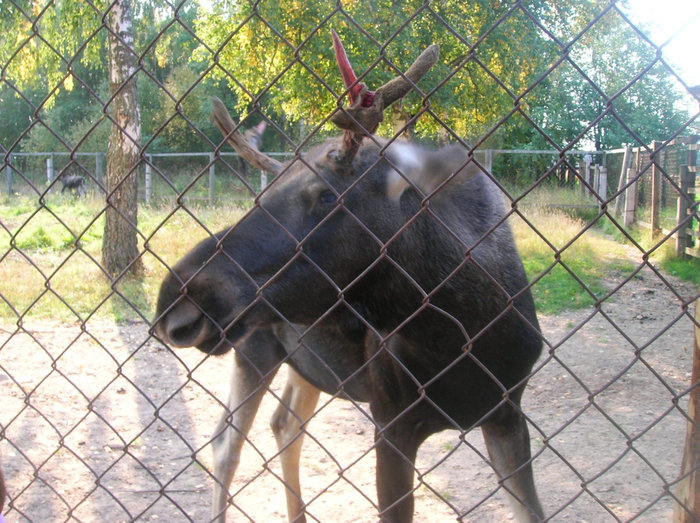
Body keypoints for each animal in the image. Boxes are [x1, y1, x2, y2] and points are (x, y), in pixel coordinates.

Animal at [154, 32, 548, 523]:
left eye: (326, 195)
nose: (175, 302)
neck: (464, 329)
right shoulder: (391, 420)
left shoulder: (508, 413)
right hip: (254, 348)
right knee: (226, 444)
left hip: (306, 359)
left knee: (285, 425)